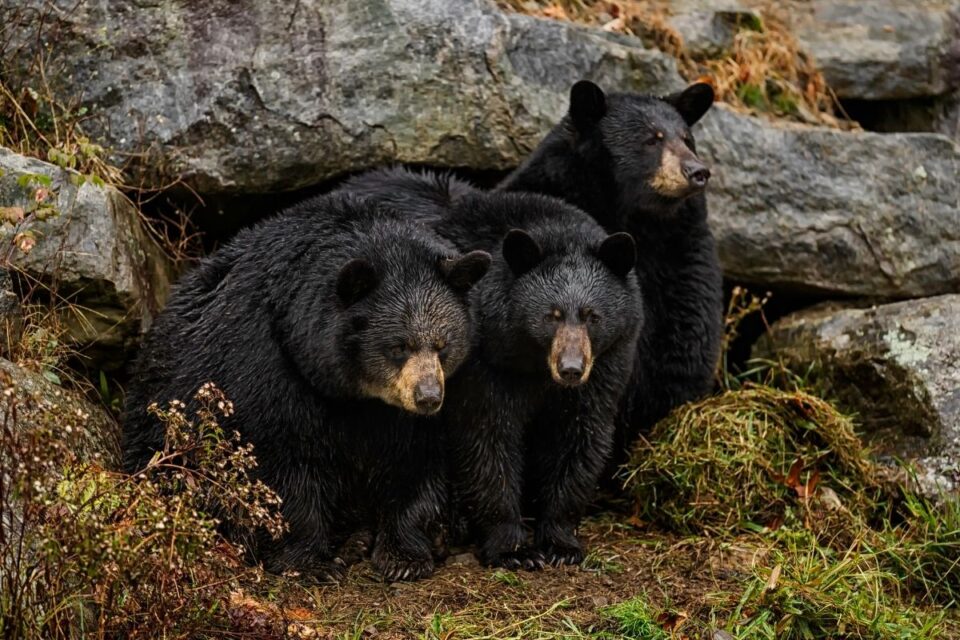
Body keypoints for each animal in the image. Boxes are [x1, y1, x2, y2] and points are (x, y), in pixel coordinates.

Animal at [122, 192, 491, 582]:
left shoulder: (417, 413)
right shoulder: (267, 370)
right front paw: (310, 562)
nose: (428, 398)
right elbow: (283, 465)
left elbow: (415, 461)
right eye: (398, 346)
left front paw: (405, 554)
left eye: (442, 344)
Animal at [341, 168, 643, 567]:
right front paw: (513, 549)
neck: (531, 362)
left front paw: (561, 543)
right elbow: (487, 438)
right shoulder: (484, 362)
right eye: (551, 315)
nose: (571, 369)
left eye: (593, 316)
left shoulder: (608, 362)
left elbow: (579, 436)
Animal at [499, 80, 724, 476]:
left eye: (687, 139)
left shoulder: (683, 265)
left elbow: (682, 350)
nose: (697, 171)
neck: (635, 220)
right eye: (652, 139)